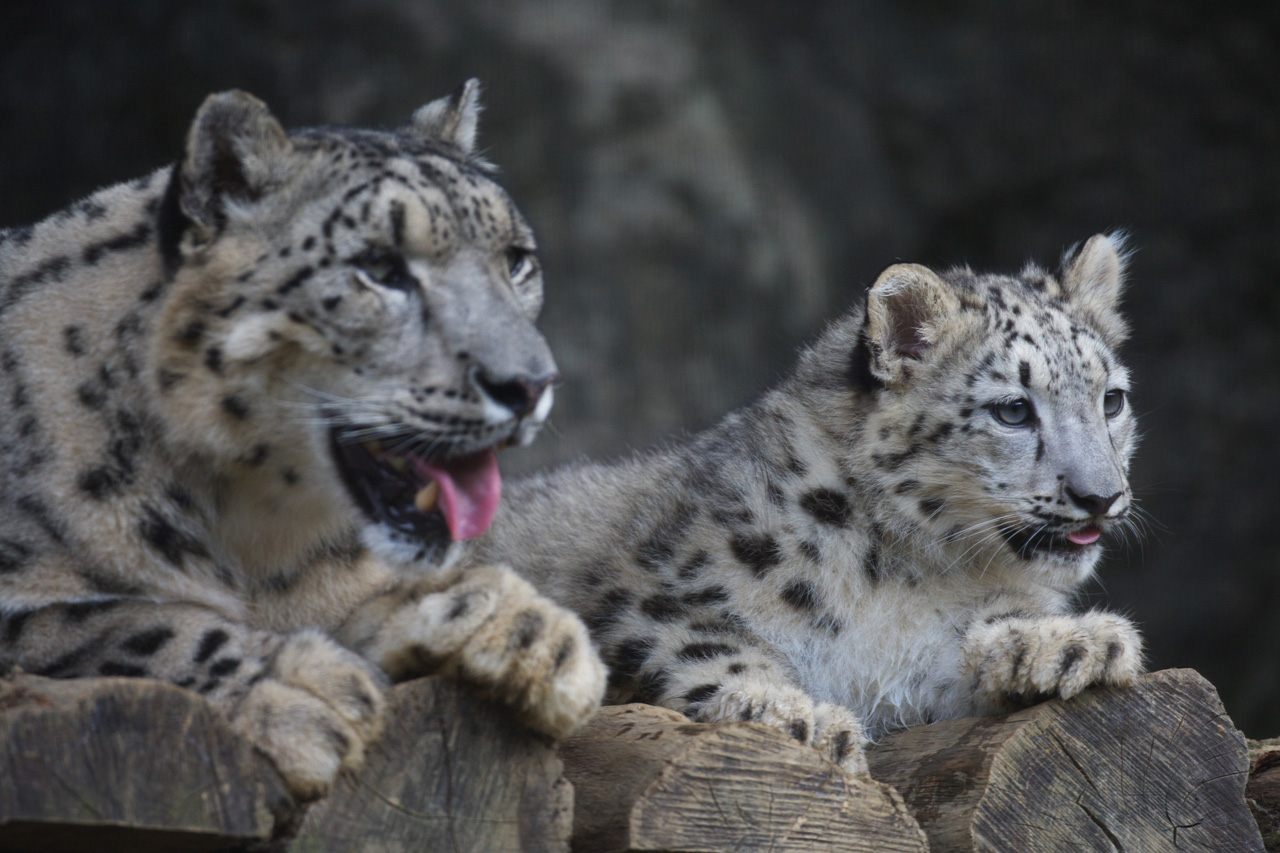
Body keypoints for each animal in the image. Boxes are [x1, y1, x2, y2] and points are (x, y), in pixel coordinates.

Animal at [0, 79, 604, 799]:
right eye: (379, 267)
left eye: (516, 260)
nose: (530, 382)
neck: (251, 538)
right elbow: (103, 622)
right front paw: (299, 687)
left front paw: (521, 629)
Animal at [481, 234, 1141, 768]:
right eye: (1013, 410)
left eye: (1111, 400)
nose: (1102, 496)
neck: (902, 575)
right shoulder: (641, 600)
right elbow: (704, 648)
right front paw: (798, 716)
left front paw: (1073, 643)